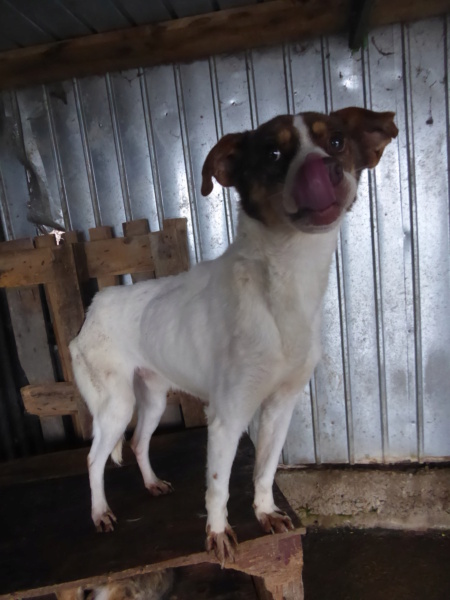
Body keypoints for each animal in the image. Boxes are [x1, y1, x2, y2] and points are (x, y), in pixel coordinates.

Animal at [70, 106, 398, 564]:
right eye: (273, 152)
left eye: (336, 142)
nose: (326, 170)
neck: (284, 281)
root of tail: (94, 307)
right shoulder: (227, 414)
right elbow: (217, 485)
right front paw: (218, 534)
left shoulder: (280, 406)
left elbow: (264, 470)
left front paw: (265, 512)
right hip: (114, 405)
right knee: (94, 458)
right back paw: (100, 512)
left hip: (152, 397)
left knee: (136, 443)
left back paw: (151, 483)